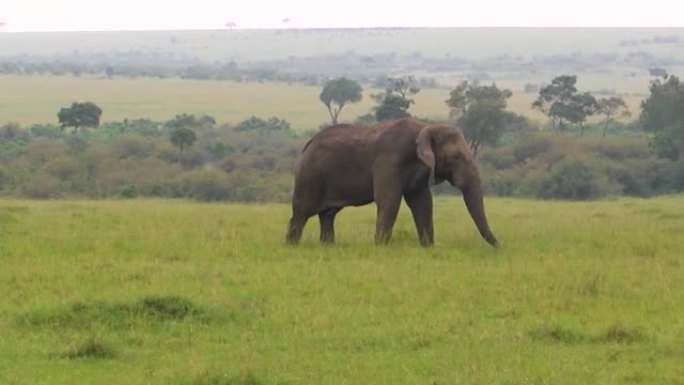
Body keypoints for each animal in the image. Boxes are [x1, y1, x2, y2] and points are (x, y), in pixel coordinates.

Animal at [286, 117, 500, 246]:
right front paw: (380, 248)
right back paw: (292, 246)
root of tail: (306, 146)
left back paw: (327, 246)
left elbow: (423, 203)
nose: (500, 246)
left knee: (328, 215)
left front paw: (428, 248)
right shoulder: (389, 161)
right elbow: (389, 201)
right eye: (456, 157)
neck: (424, 127)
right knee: (301, 214)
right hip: (308, 177)